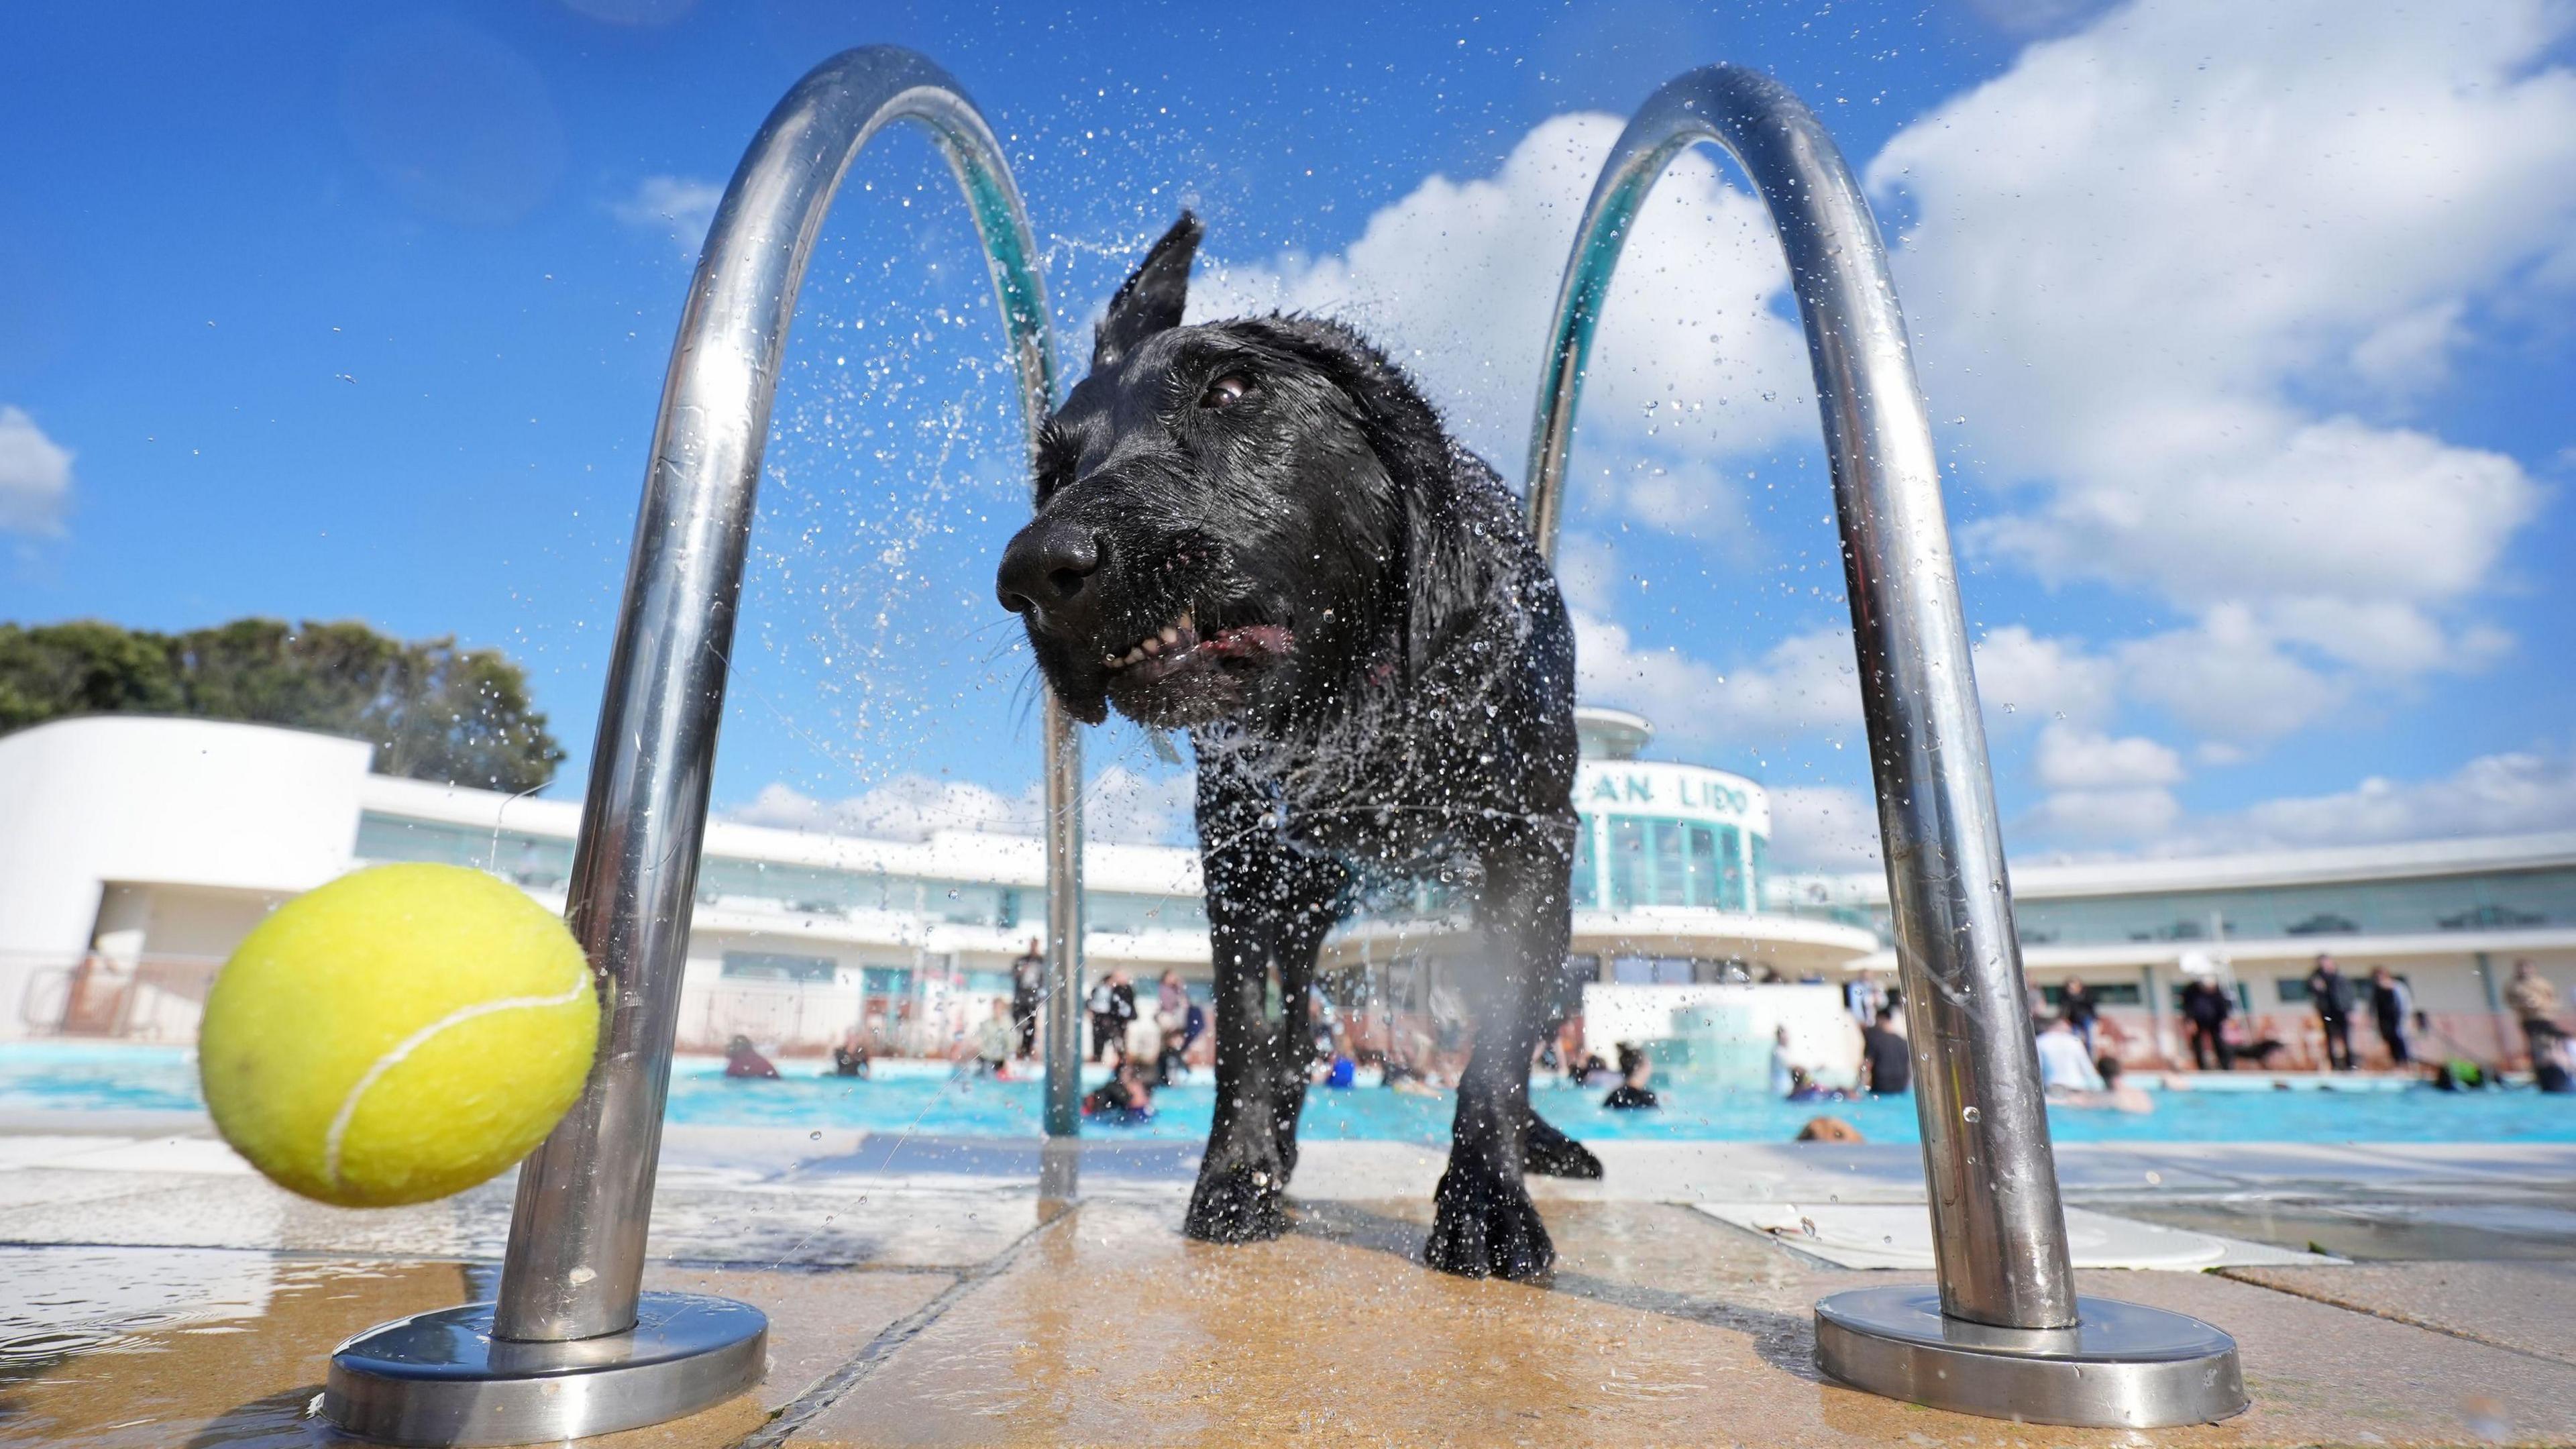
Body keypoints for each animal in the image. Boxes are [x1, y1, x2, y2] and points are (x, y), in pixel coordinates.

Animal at [999, 214, 1587, 1273]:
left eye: (1232, 392)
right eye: (1053, 469)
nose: (1031, 570)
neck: (1356, 701)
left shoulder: (1529, 845)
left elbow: (1497, 1050)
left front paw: (1487, 1202)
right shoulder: (1244, 869)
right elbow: (1245, 1039)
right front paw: (1238, 1177)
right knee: (1290, 1038)